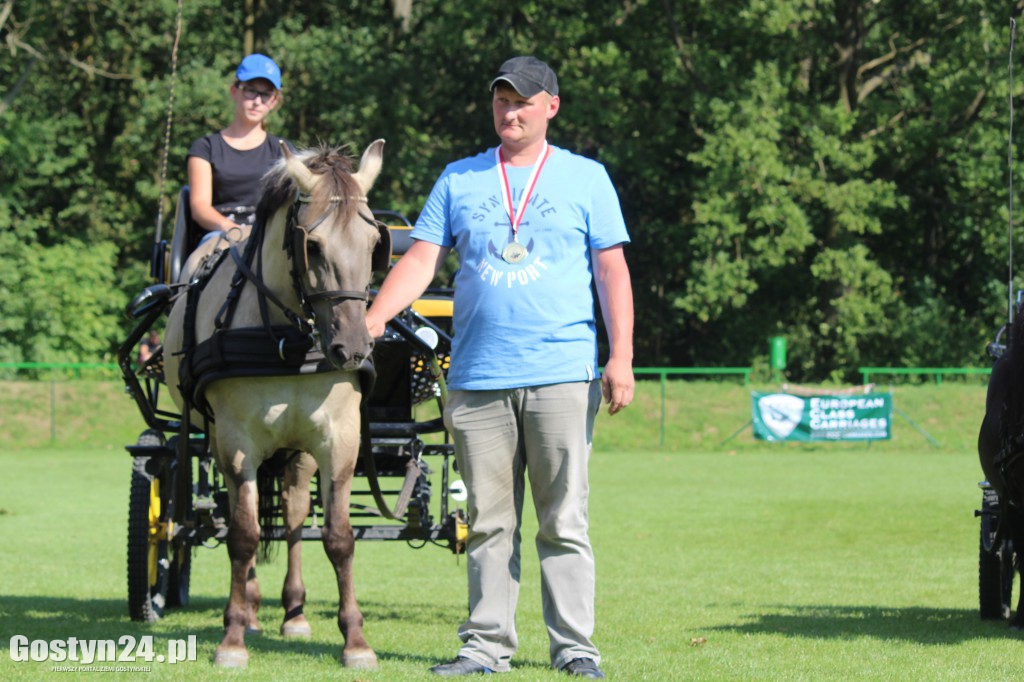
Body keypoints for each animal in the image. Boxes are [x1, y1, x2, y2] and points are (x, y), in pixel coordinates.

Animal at [163, 138, 387, 663]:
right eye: (313, 246)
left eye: (375, 245)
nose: (353, 348)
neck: (289, 337)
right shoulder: (236, 442)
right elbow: (242, 535)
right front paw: (232, 637)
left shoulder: (339, 440)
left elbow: (338, 537)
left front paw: (355, 640)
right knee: (242, 518)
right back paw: (248, 610)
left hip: (296, 452)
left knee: (292, 516)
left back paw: (293, 612)